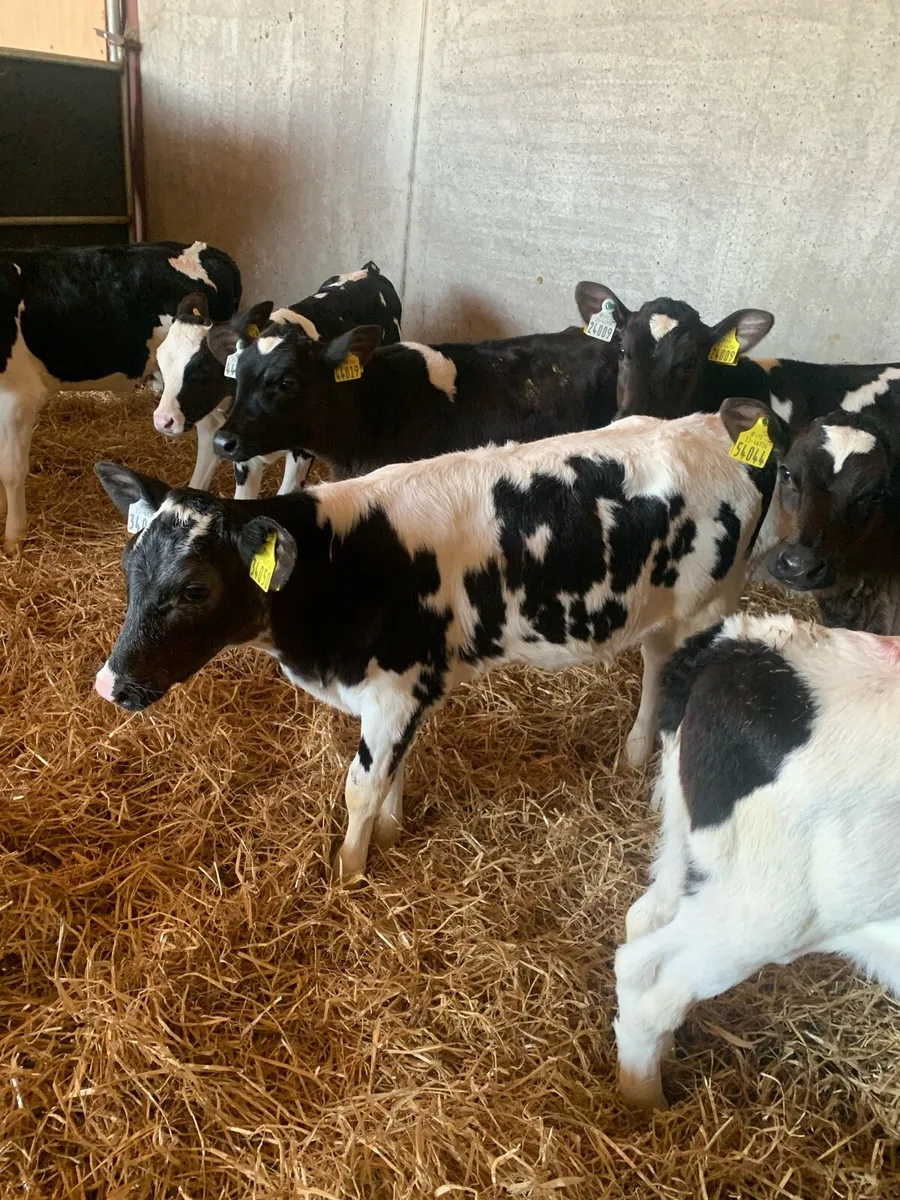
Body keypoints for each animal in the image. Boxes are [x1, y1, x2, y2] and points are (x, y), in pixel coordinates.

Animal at [93, 401, 781, 881]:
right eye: (130, 564)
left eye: (195, 590)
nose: (109, 683)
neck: (341, 565)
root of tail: (717, 424)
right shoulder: (405, 690)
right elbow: (393, 770)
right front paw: (391, 834)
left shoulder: (396, 689)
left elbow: (362, 785)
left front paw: (348, 872)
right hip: (665, 613)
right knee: (657, 666)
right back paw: (635, 753)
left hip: (710, 609)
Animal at [615, 612, 900, 1111]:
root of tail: (736, 646)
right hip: (770, 913)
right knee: (645, 978)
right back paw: (645, 1102)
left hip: (691, 854)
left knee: (645, 918)